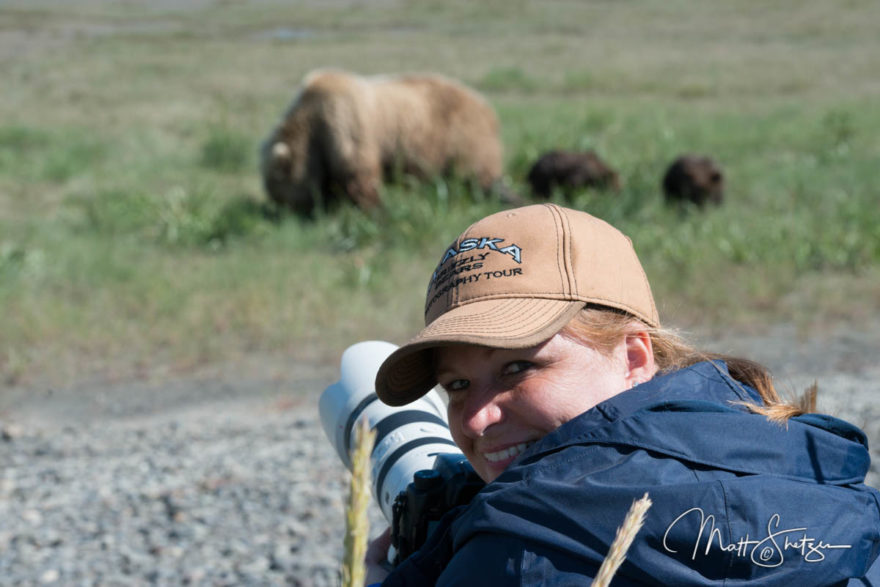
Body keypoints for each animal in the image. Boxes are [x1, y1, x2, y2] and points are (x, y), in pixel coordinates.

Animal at [260, 69, 502, 216]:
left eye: (284, 198)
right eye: (277, 197)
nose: (288, 216)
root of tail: (485, 105)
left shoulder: (346, 127)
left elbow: (361, 177)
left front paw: (376, 211)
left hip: (460, 136)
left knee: (477, 174)